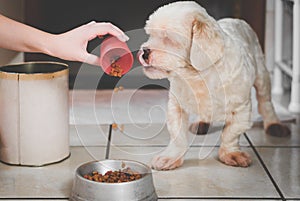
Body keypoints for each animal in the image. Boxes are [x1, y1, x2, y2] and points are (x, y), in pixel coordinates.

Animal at [139, 0, 290, 170]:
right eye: (151, 35)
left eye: (168, 39)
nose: (144, 51)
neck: (198, 76)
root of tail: (236, 19)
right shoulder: (176, 106)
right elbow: (177, 136)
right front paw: (170, 157)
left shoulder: (241, 110)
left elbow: (230, 133)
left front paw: (231, 153)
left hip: (262, 76)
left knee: (266, 102)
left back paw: (273, 124)